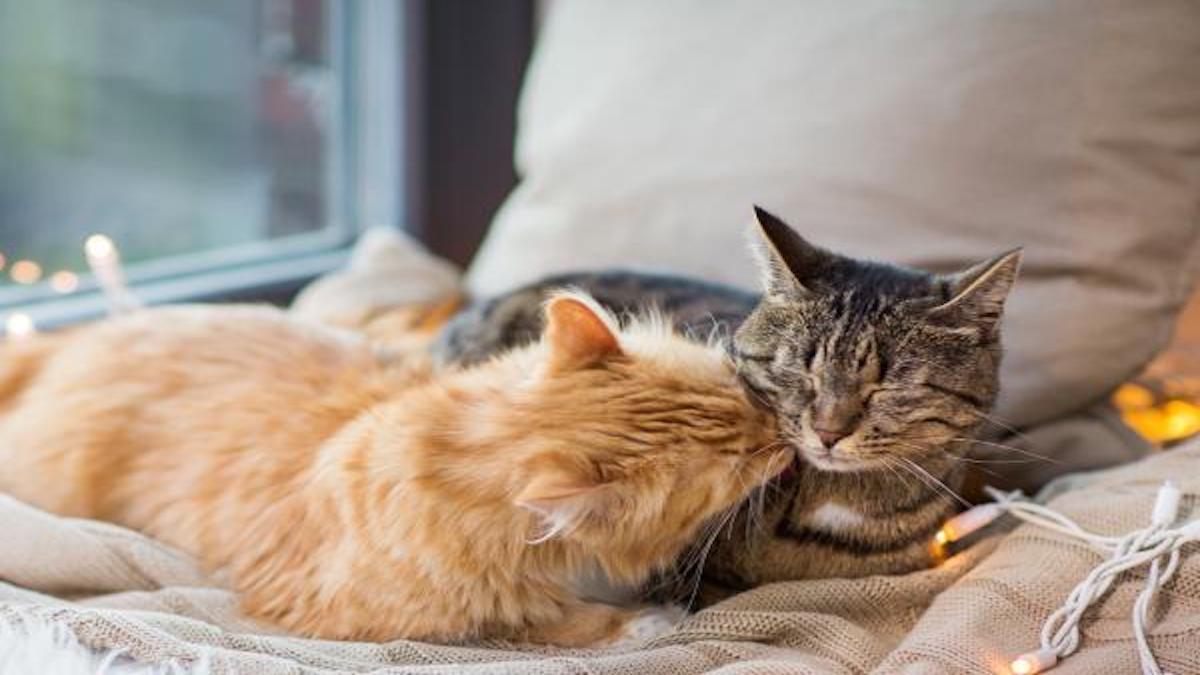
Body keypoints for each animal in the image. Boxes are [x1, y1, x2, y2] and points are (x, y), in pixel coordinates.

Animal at [0, 295, 782, 648]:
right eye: (737, 461)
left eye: (739, 389)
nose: (781, 434)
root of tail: (72, 336)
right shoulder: (373, 612)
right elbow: (551, 618)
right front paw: (647, 620)